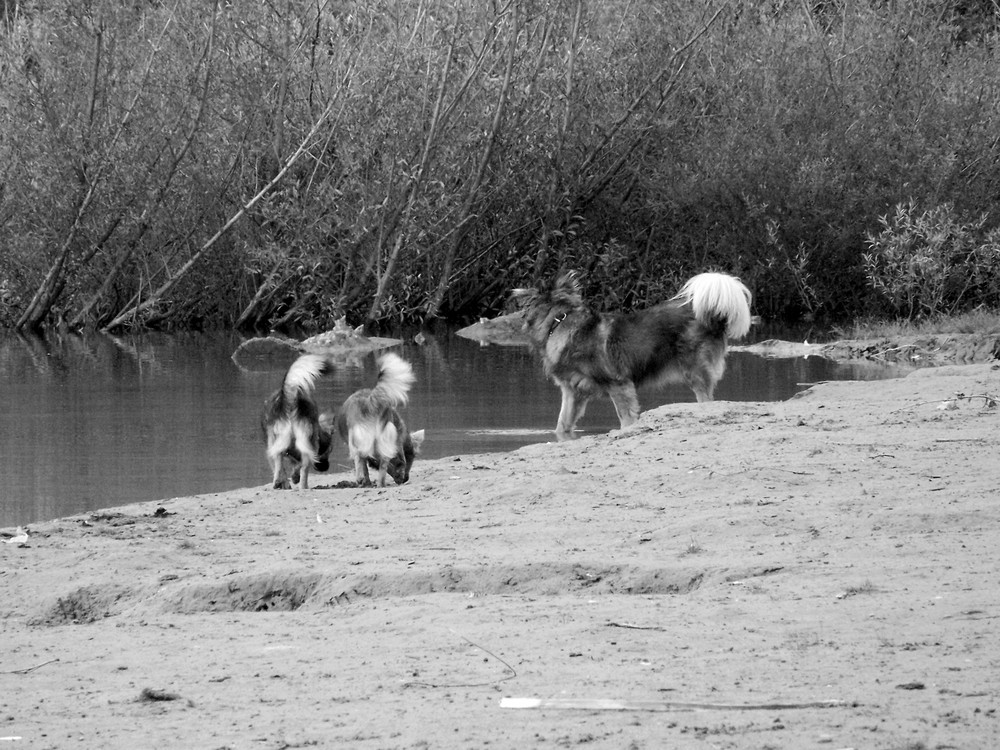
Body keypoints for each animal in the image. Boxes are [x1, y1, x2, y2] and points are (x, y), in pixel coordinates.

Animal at [336, 356, 426, 490]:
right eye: (413, 456)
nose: (406, 479)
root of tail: (370, 402)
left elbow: (365, 465)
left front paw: (365, 481)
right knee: (387, 462)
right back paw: (381, 483)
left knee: (364, 458)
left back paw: (366, 480)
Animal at [516, 274, 752, 440]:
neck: (560, 323)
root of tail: (713, 316)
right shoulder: (573, 392)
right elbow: (562, 424)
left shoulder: (618, 384)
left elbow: (626, 417)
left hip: (695, 371)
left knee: (706, 400)